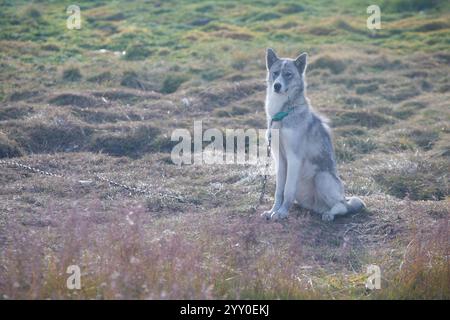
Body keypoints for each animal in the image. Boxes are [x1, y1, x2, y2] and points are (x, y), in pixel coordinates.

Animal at [262, 48, 364, 221]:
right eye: (275, 73)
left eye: (288, 74)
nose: (276, 86)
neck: (282, 114)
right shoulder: (279, 159)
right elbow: (279, 191)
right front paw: (273, 211)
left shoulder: (294, 158)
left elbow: (287, 190)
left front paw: (281, 212)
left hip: (322, 177)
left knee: (343, 206)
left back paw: (329, 214)